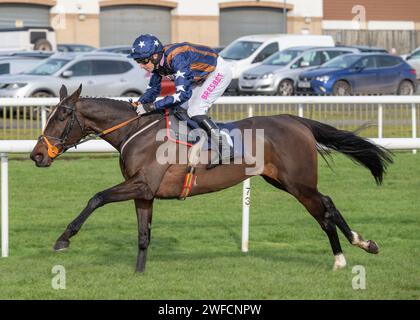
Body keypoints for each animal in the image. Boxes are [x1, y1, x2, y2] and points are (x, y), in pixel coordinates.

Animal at [30, 85, 394, 272]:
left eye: (61, 116)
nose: (37, 155)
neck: (138, 131)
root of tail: (297, 120)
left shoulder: (141, 184)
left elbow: (96, 197)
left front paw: (63, 239)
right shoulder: (144, 192)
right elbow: (143, 235)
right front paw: (139, 274)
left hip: (299, 184)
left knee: (324, 210)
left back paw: (342, 257)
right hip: (283, 181)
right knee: (328, 203)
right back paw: (364, 243)